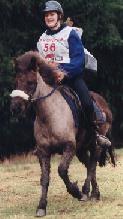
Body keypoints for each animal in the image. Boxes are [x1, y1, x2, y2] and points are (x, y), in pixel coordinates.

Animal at [10, 51, 115, 217]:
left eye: (30, 82)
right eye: (16, 82)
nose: (15, 107)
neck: (50, 116)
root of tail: (103, 103)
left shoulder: (69, 147)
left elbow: (62, 170)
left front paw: (76, 192)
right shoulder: (44, 152)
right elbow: (45, 179)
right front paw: (41, 207)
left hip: (95, 145)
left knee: (92, 165)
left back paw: (87, 192)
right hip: (81, 149)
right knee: (89, 165)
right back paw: (95, 193)